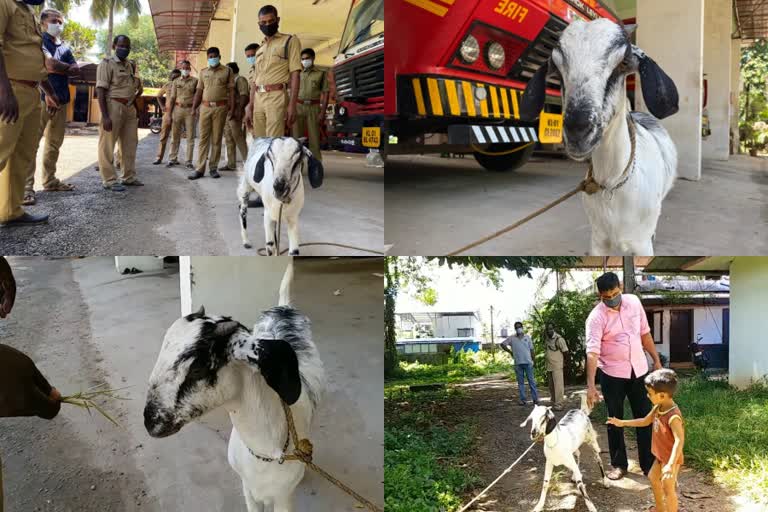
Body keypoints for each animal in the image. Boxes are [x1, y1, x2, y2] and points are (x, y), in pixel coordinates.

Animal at [145, 264, 328, 512]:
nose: (150, 421)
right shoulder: (247, 489)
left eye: (198, 368)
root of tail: (284, 307)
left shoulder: (284, 498)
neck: (265, 452)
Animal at [520, 18, 680, 256]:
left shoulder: (641, 245)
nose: (577, 131)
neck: (612, 183)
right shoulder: (598, 240)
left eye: (623, 63)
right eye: (557, 69)